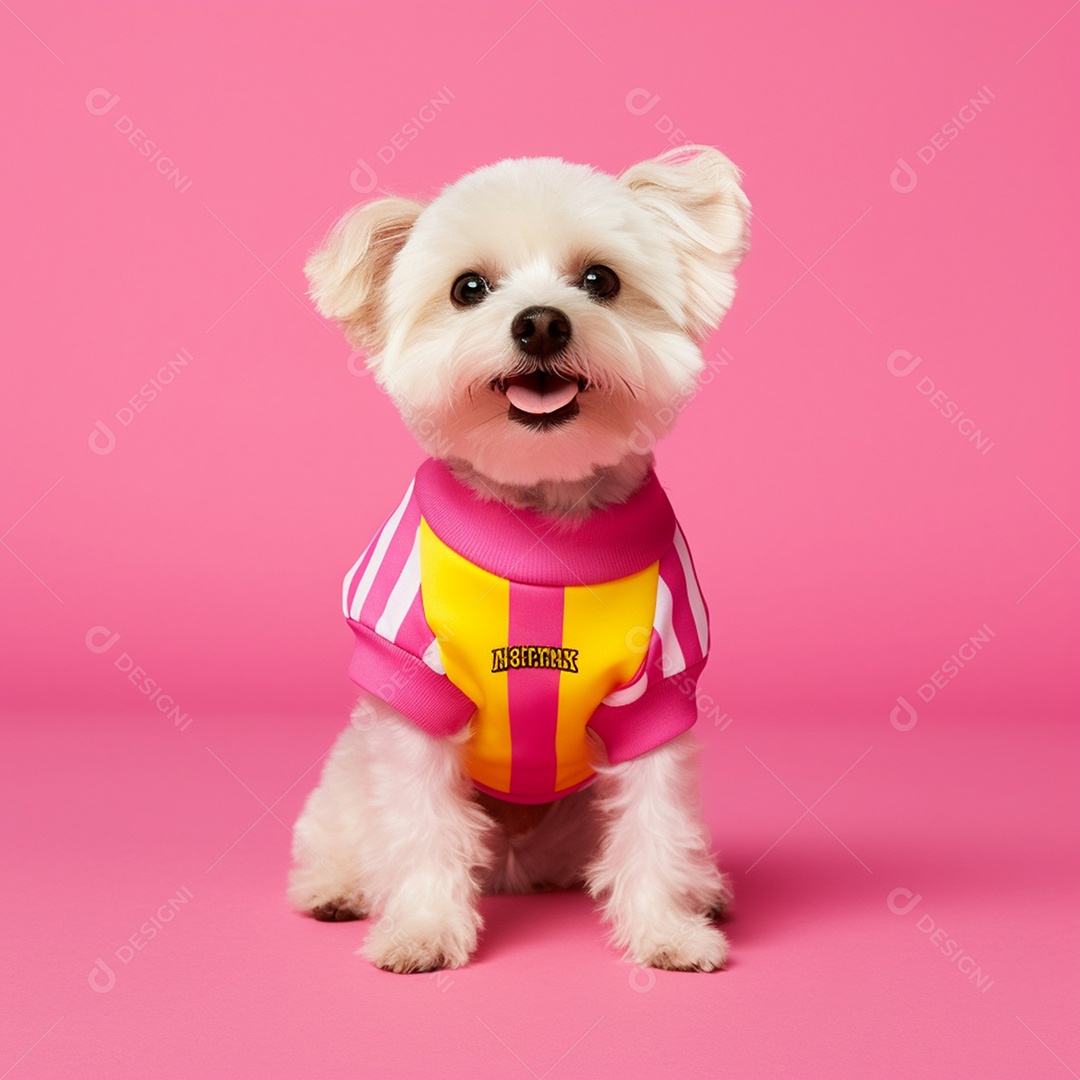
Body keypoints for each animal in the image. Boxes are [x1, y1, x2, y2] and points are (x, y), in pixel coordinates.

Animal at [287, 139, 751, 976]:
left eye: (600, 280)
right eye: (468, 288)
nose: (539, 323)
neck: (542, 531)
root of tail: (518, 864)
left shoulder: (660, 693)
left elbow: (657, 820)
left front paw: (666, 931)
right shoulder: (411, 686)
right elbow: (419, 825)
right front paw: (423, 931)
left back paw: (704, 891)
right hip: (352, 773)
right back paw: (335, 888)